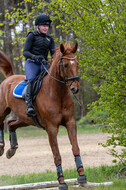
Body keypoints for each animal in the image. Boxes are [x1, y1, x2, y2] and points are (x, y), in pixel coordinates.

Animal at [0, 42, 86, 189]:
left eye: (77, 63)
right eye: (65, 65)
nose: (75, 88)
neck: (58, 93)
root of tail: (9, 79)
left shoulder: (70, 122)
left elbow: (75, 147)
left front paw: (82, 177)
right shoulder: (51, 128)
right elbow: (57, 155)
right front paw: (62, 182)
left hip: (26, 119)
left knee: (10, 124)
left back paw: (12, 149)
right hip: (3, 110)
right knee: (1, 123)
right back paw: (1, 146)